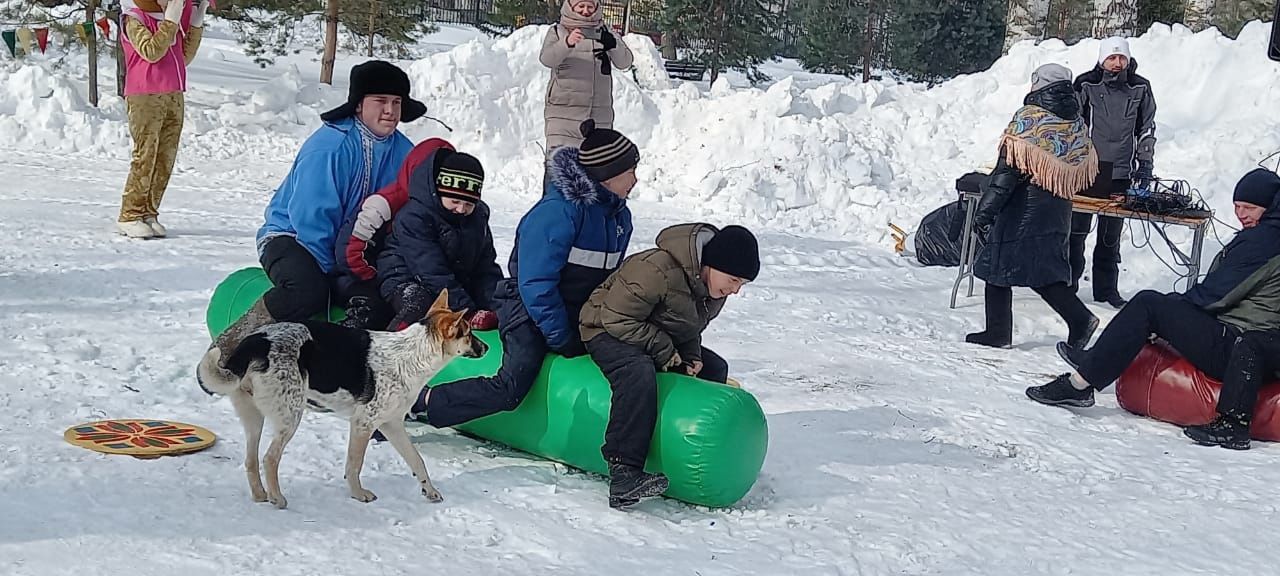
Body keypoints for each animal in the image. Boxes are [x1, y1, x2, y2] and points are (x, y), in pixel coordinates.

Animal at [194, 293, 483, 509]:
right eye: (468, 333)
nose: (487, 348)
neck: (413, 355)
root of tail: (258, 340)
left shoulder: (392, 425)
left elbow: (417, 460)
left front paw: (430, 491)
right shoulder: (363, 423)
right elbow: (354, 464)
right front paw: (358, 494)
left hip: (254, 418)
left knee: (251, 460)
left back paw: (260, 495)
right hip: (291, 415)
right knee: (269, 459)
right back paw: (277, 498)